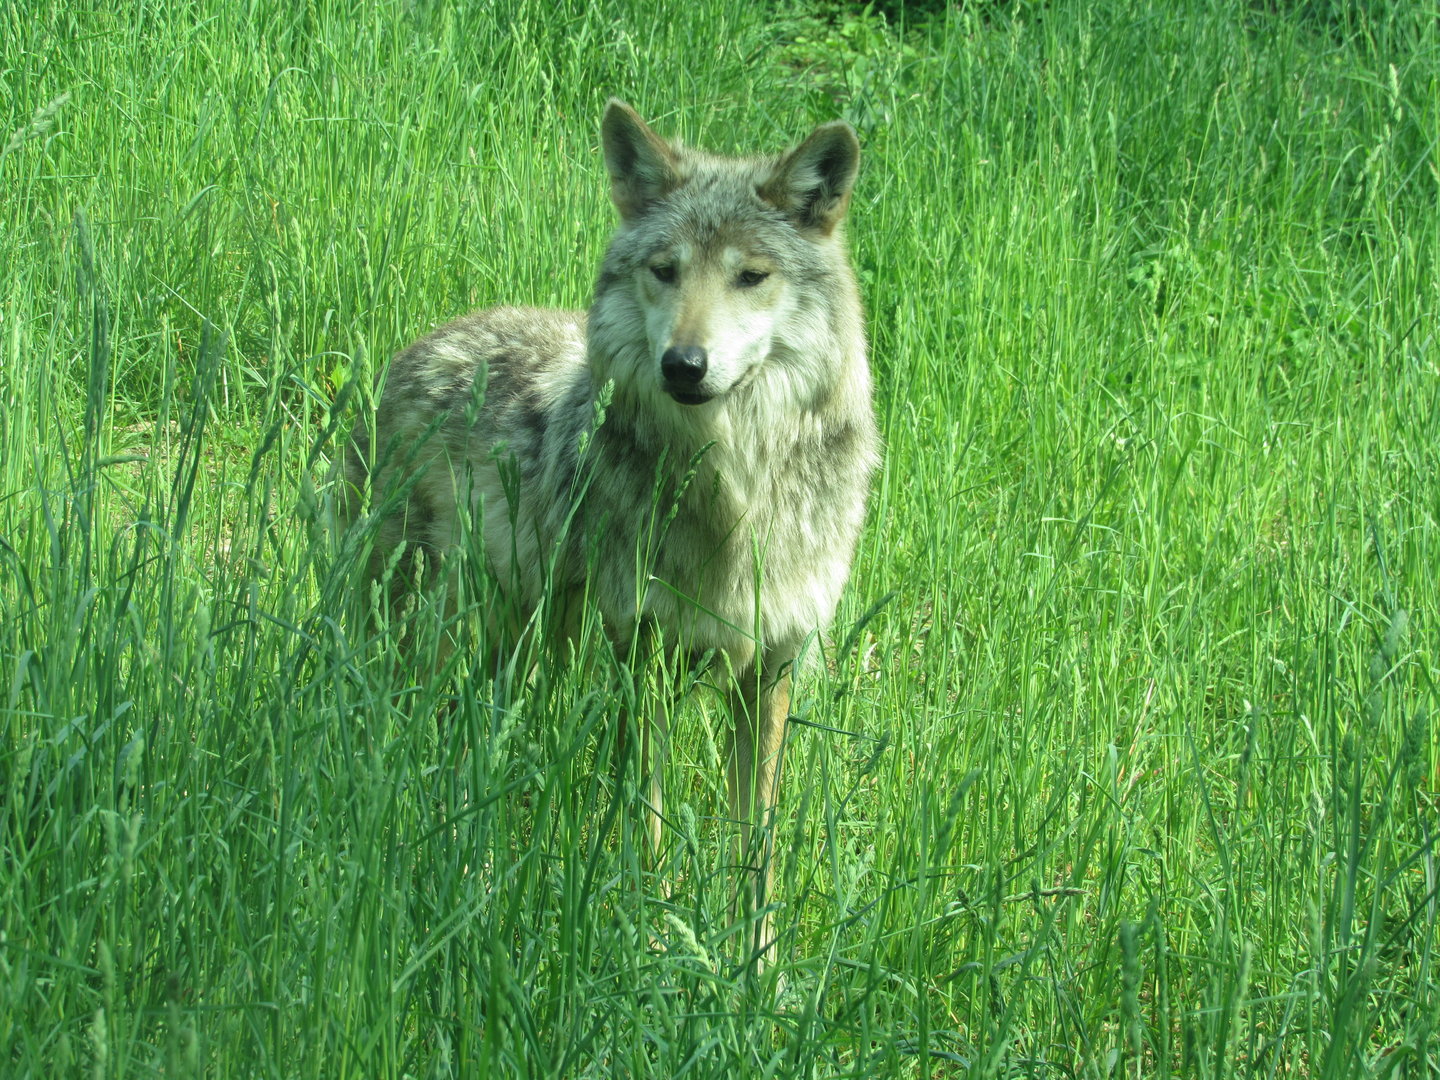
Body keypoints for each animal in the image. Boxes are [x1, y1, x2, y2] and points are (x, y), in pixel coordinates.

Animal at [338, 100, 879, 964]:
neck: (734, 485)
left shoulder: (772, 665)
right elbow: (644, 823)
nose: (683, 364)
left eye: (751, 276)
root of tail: (414, 350)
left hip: (524, 639)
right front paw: (649, 942)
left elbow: (754, 845)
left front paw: (755, 969)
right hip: (440, 633)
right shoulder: (639, 653)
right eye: (664, 269)